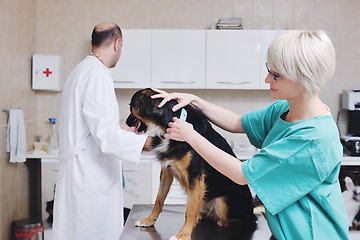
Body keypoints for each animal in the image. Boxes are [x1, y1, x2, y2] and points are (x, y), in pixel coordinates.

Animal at [126, 88, 256, 240]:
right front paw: (149, 220)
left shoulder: (195, 175)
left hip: (223, 201)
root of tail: (251, 212)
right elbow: (158, 200)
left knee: (241, 220)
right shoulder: (166, 171)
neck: (168, 126)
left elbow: (189, 211)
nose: (126, 122)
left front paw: (184, 234)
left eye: (130, 106)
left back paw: (222, 221)